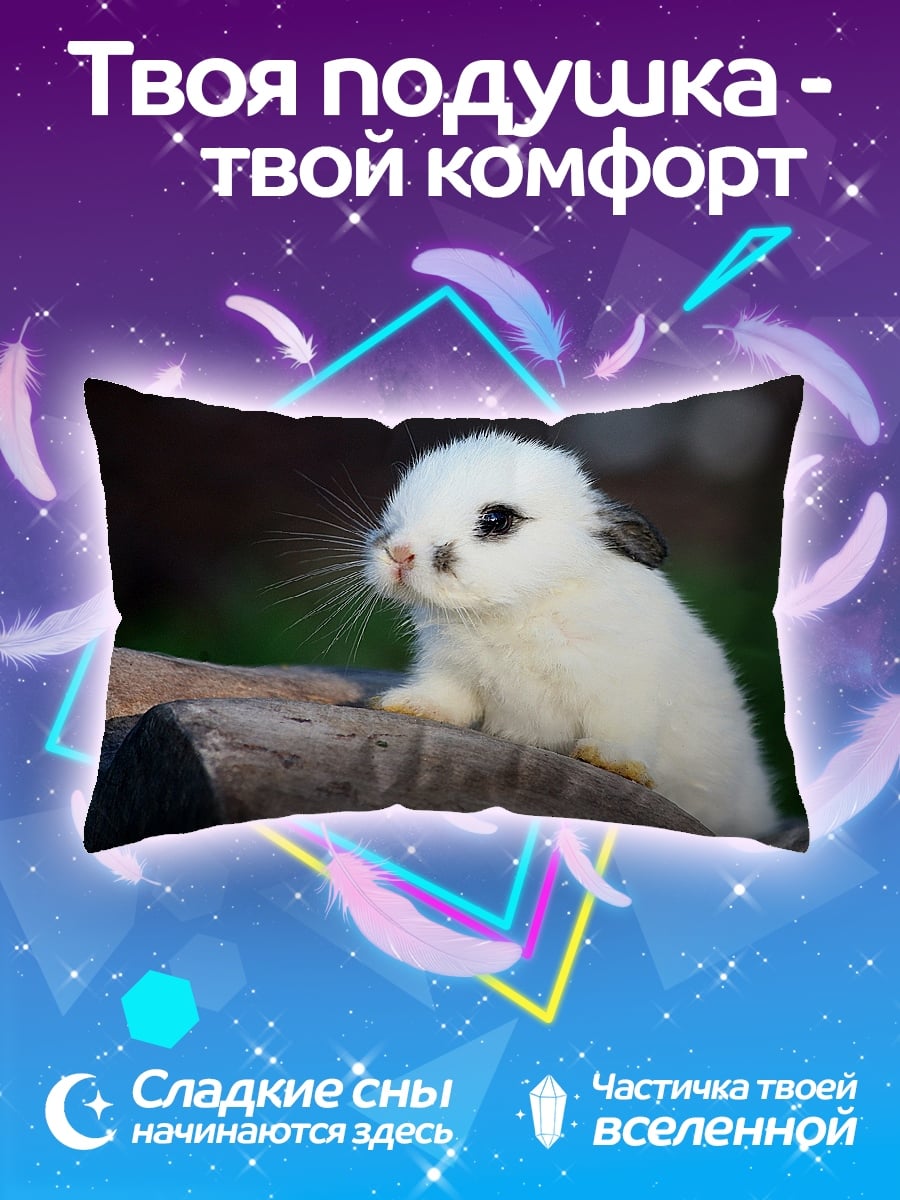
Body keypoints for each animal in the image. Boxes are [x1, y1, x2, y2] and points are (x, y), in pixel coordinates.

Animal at [364, 430, 778, 838]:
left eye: (497, 519)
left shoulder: (625, 692)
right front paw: (405, 704)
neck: (517, 610)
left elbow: (621, 729)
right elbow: (447, 701)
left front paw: (610, 761)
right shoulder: (452, 674)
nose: (399, 553)